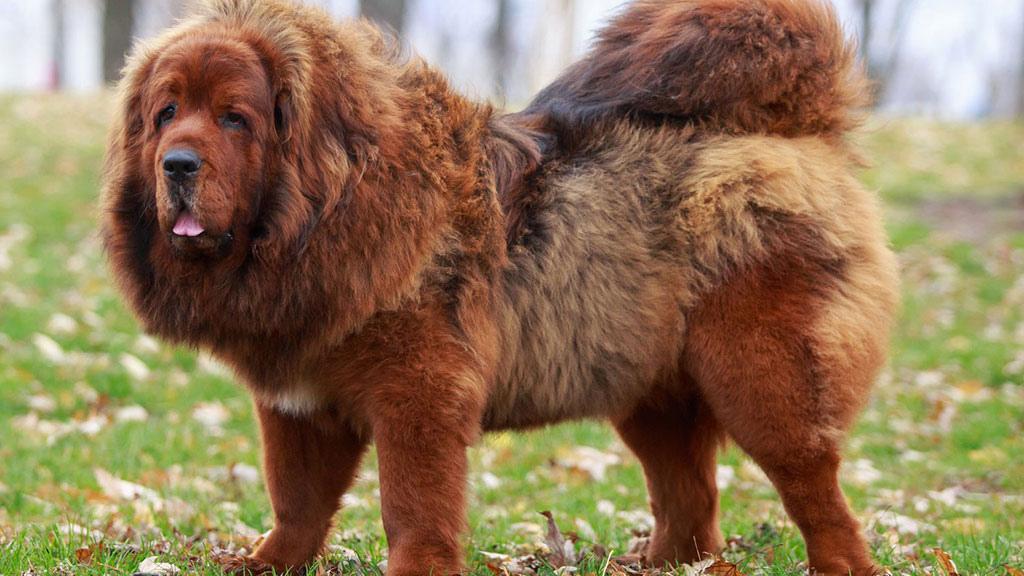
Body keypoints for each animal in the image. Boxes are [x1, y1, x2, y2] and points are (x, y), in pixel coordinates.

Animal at [101, 0, 897, 569]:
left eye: (235, 119)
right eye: (166, 113)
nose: (177, 164)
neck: (325, 212)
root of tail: (799, 131)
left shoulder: (418, 393)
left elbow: (412, 508)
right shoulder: (298, 403)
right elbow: (296, 502)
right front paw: (265, 564)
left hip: (761, 381)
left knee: (818, 499)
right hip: (650, 391)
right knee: (692, 507)